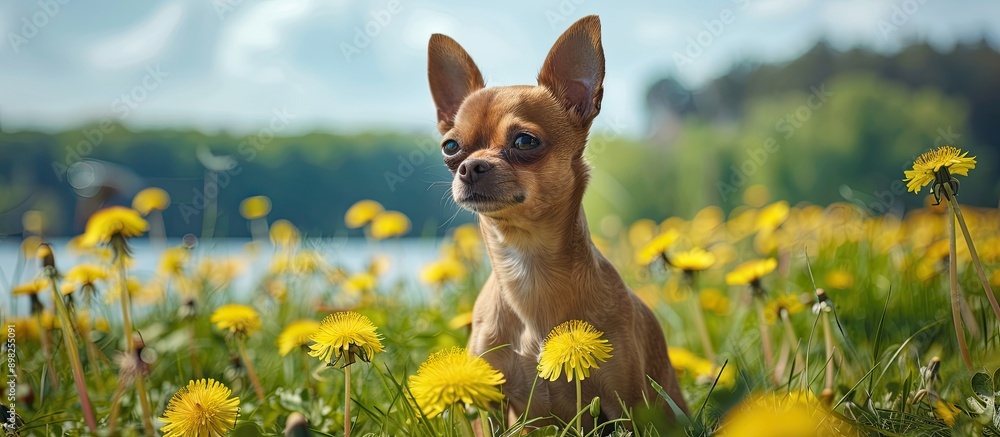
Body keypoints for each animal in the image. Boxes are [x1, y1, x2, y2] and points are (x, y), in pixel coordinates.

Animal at [426, 16, 692, 426]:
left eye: (524, 141)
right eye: (450, 147)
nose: (470, 167)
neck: (528, 268)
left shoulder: (624, 404)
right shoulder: (488, 403)